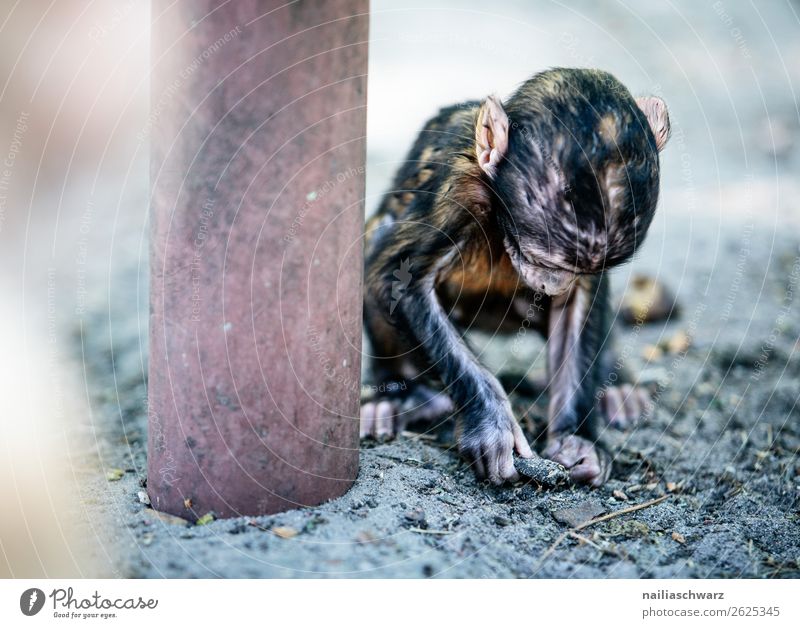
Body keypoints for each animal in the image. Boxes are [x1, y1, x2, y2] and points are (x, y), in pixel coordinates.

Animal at [360, 71, 668, 488]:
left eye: (576, 269)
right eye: (543, 259)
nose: (554, 283)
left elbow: (577, 309)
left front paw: (576, 438)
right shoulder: (458, 191)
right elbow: (400, 279)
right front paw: (491, 423)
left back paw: (616, 387)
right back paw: (402, 396)